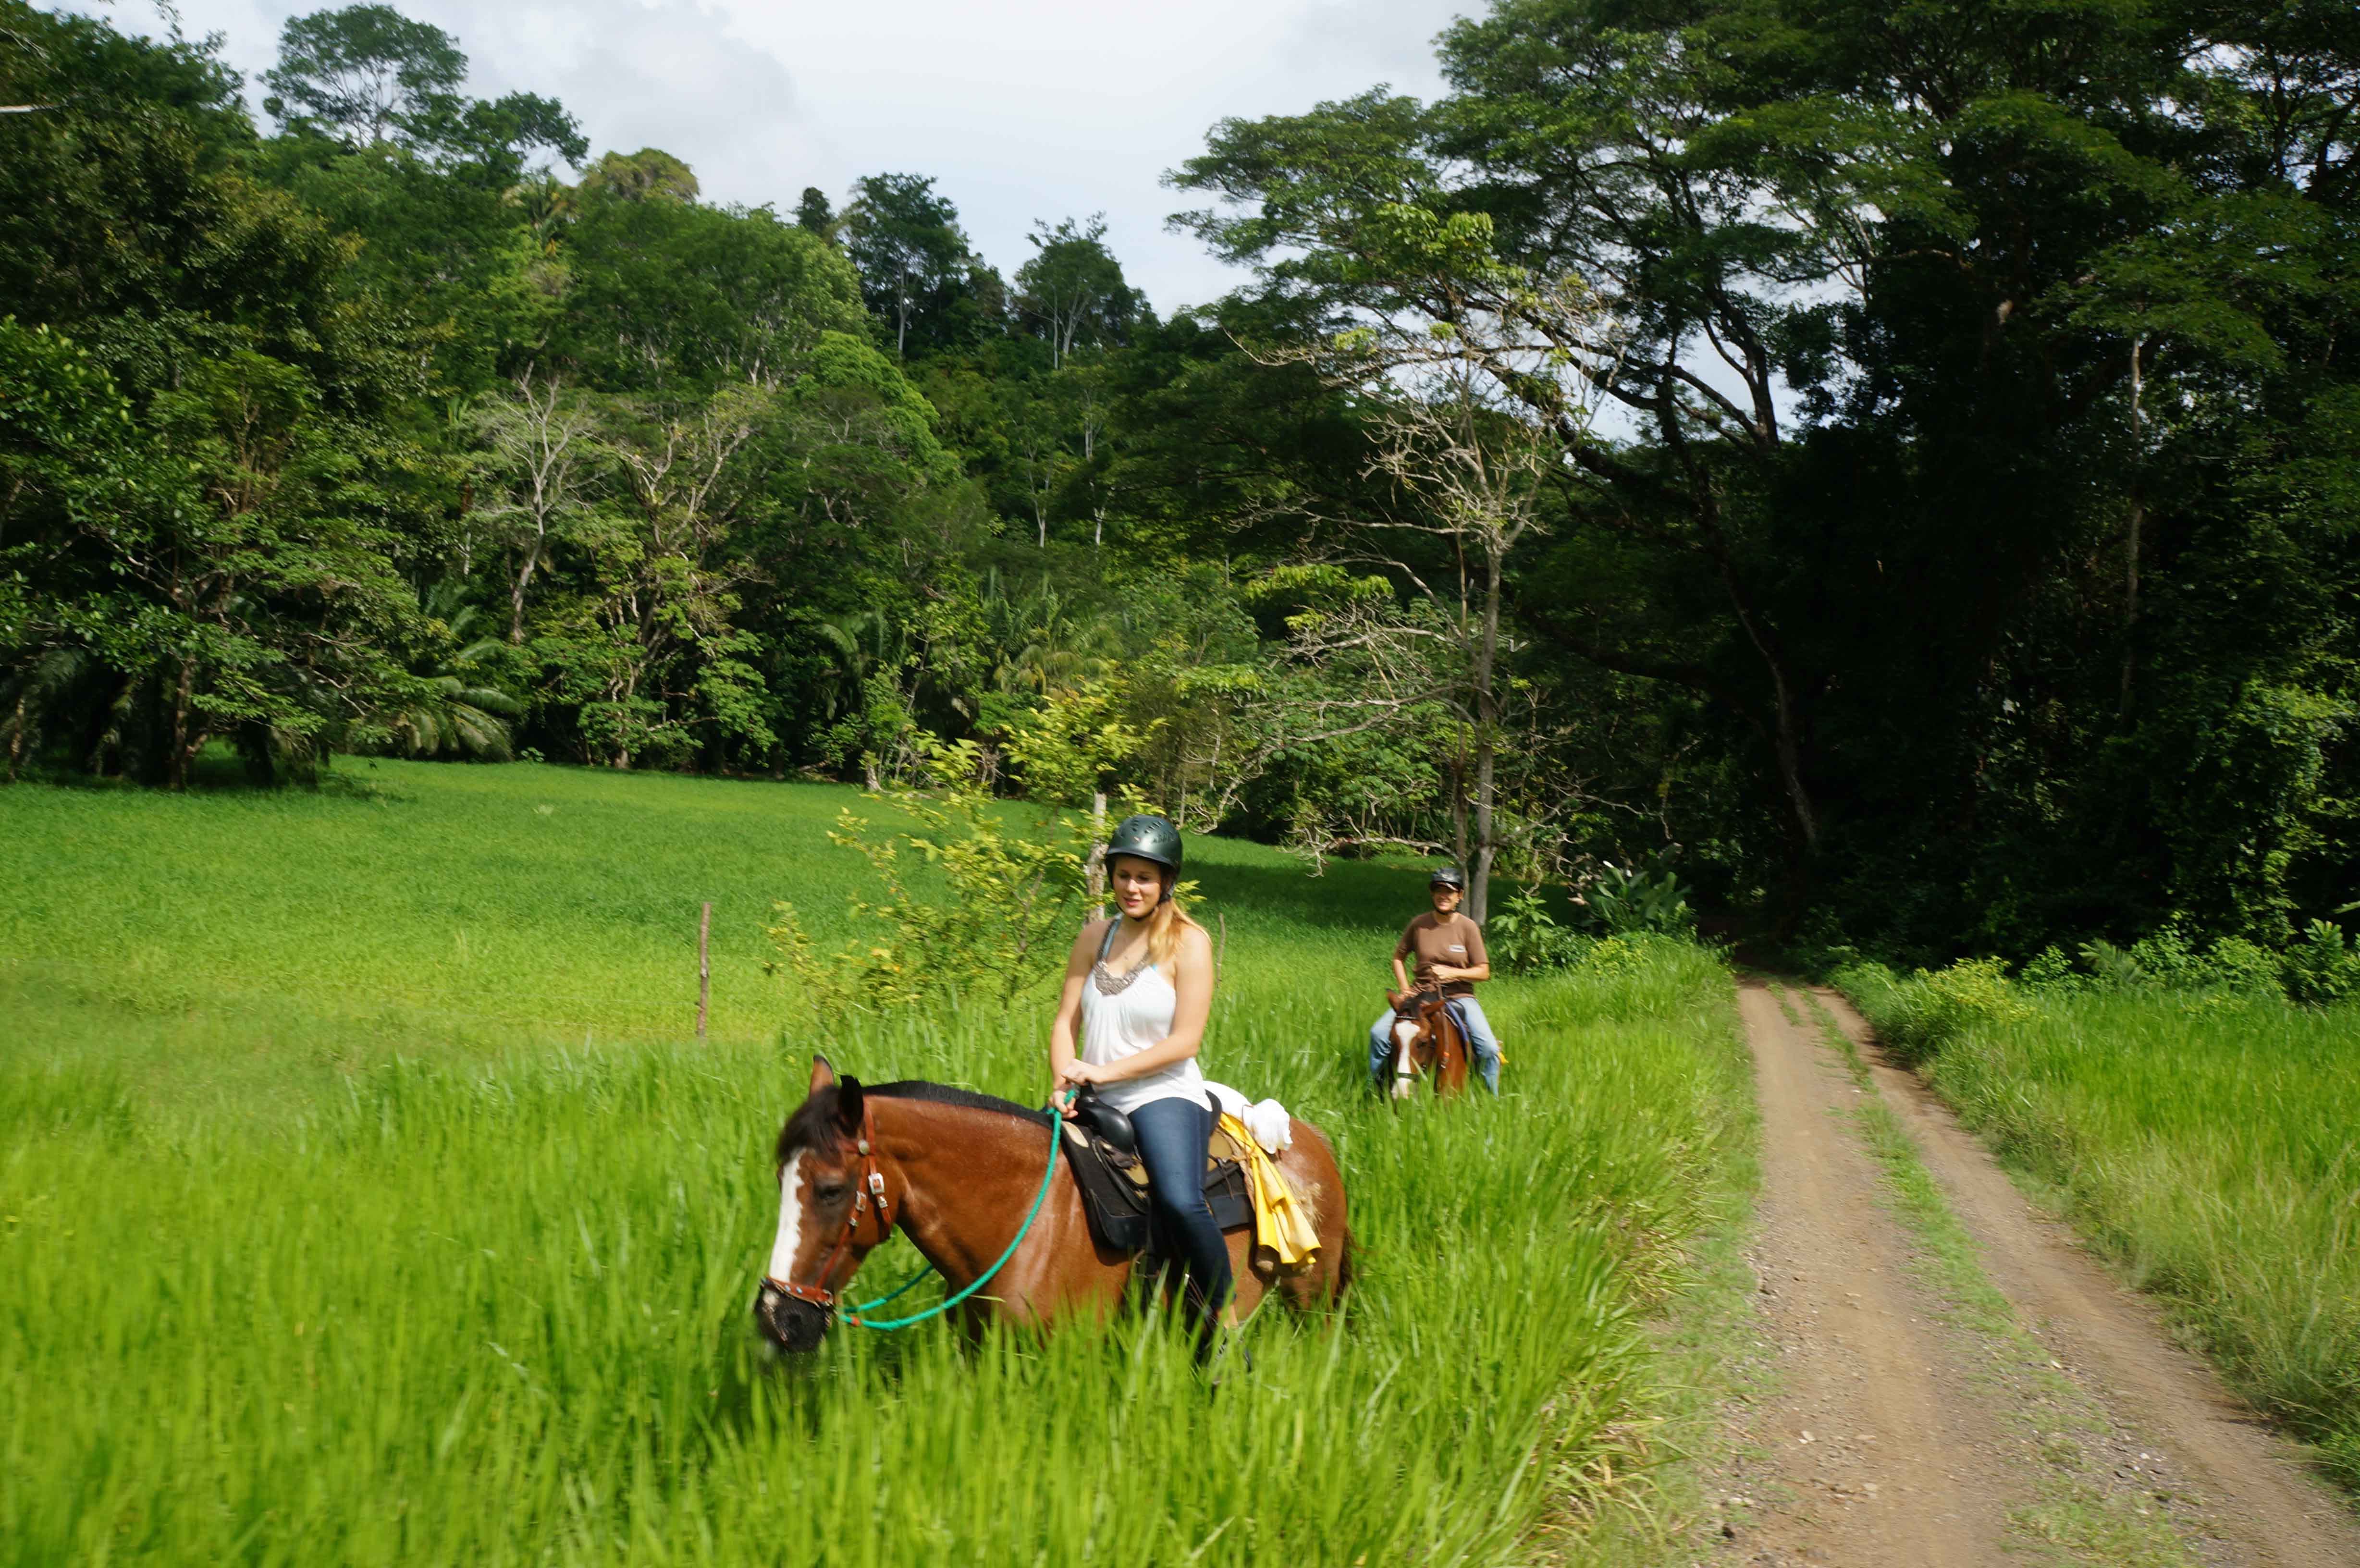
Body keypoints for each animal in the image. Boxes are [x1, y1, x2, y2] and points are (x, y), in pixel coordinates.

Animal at [755, 1058, 1350, 1350]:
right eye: (780, 1178)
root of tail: (1312, 1138)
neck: (1021, 1220)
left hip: (1312, 1301)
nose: (777, 1318)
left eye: (831, 1189)